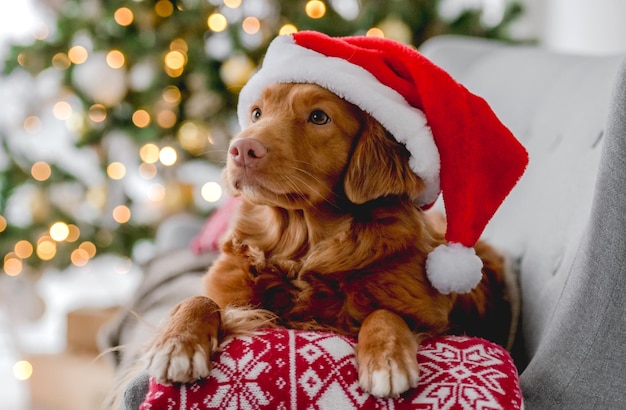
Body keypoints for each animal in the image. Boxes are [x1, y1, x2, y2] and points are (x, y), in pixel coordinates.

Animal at [144, 81, 516, 398]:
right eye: (257, 113)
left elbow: (383, 314)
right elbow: (197, 300)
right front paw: (177, 344)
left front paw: (387, 359)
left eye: (319, 117)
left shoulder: (433, 319)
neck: (302, 247)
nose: (241, 149)